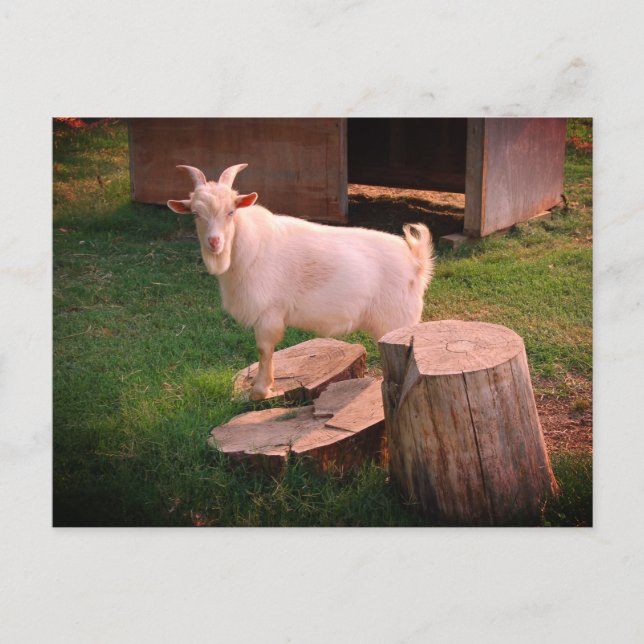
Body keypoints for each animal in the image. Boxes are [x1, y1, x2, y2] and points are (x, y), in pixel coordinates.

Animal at [168, 164, 434, 400]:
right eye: (195, 214)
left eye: (231, 212)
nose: (214, 242)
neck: (246, 247)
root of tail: (416, 260)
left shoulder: (269, 312)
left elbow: (264, 349)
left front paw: (260, 391)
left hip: (397, 320)